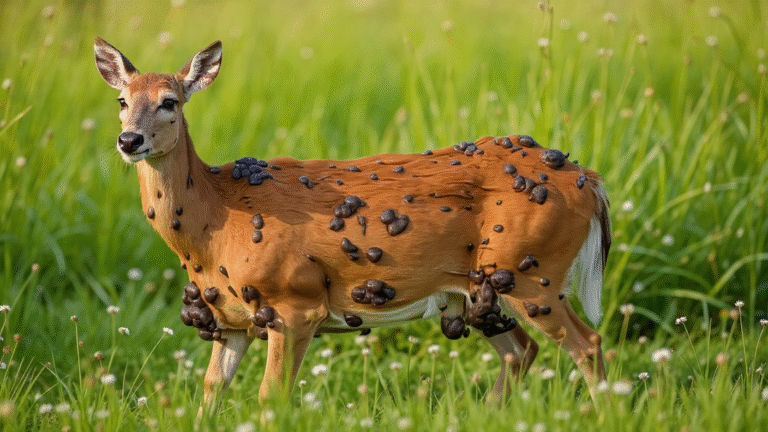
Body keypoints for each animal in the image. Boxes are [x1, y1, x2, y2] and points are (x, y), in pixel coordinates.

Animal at [94, 38, 610, 406]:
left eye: (170, 101)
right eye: (121, 100)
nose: (129, 140)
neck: (215, 222)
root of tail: (590, 180)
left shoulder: (295, 301)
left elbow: (271, 397)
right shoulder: (229, 320)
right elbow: (210, 389)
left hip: (533, 273)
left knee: (587, 343)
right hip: (483, 289)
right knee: (523, 351)